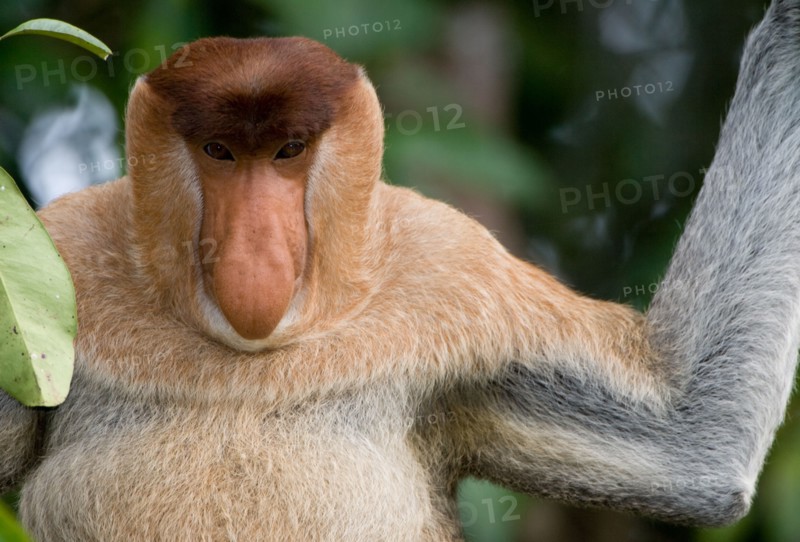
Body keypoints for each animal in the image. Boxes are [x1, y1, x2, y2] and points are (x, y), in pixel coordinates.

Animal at [1, 1, 800, 540]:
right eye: (220, 152)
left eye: (289, 150)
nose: (255, 250)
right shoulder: (65, 245)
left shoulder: (453, 270)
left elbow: (692, 441)